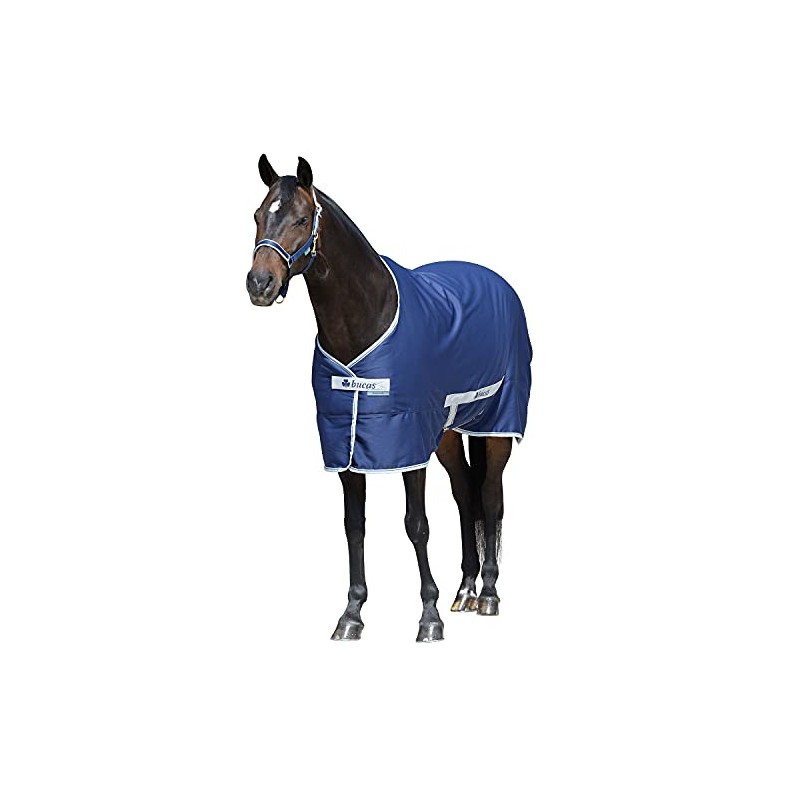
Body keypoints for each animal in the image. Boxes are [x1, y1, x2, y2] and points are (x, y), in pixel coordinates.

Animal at [246, 155, 532, 642]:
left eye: (302, 219)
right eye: (258, 215)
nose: (259, 283)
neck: (366, 321)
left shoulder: (407, 439)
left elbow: (417, 525)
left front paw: (429, 616)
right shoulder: (344, 443)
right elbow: (354, 526)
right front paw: (351, 614)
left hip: (495, 425)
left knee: (491, 496)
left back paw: (490, 594)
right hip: (447, 433)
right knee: (465, 494)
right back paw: (466, 589)